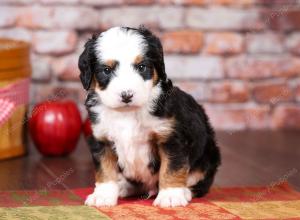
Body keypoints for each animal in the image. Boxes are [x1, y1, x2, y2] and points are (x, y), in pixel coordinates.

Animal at [78, 26, 221, 207]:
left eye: (141, 67)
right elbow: (105, 169)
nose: (127, 95)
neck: (127, 113)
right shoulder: (102, 139)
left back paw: (184, 192)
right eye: (107, 70)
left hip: (208, 156)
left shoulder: (171, 138)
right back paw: (123, 186)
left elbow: (172, 168)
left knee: (200, 183)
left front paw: (170, 196)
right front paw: (103, 196)